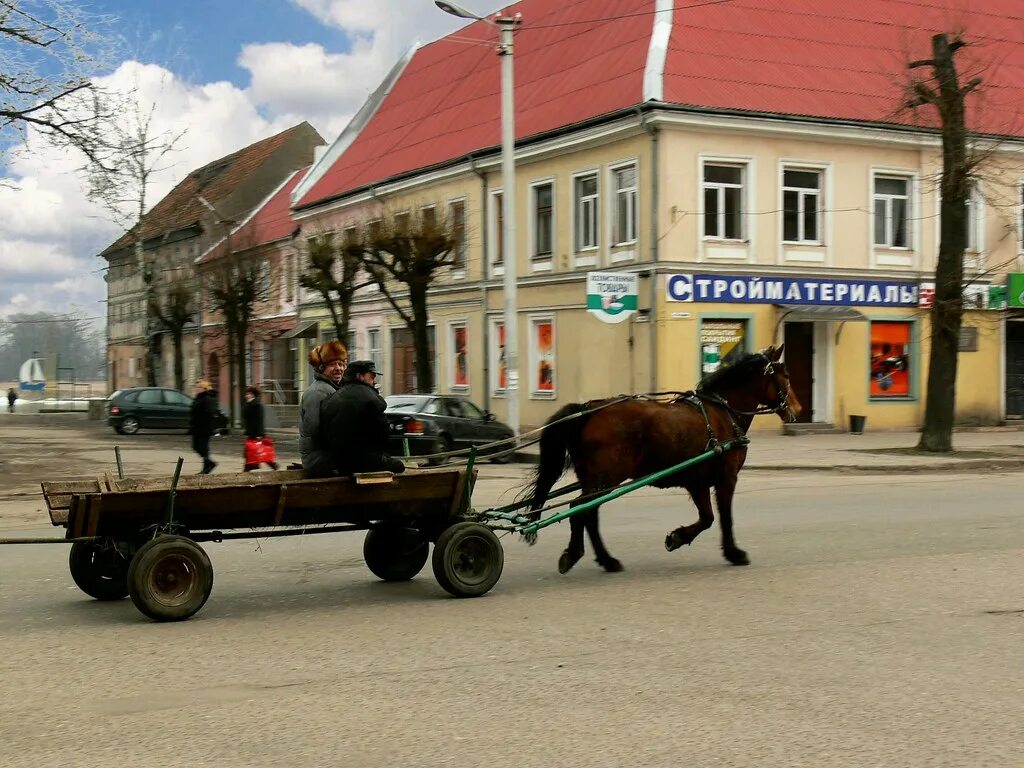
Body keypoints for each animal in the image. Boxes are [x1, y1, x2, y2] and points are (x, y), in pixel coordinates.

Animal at [528, 346, 798, 573]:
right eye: (785, 376)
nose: (797, 409)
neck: (722, 411)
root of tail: (587, 410)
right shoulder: (727, 478)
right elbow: (724, 518)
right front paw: (734, 553)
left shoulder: (698, 482)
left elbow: (707, 518)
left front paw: (677, 538)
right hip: (605, 479)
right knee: (579, 510)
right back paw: (575, 554)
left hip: (596, 480)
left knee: (589, 515)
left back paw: (607, 560)